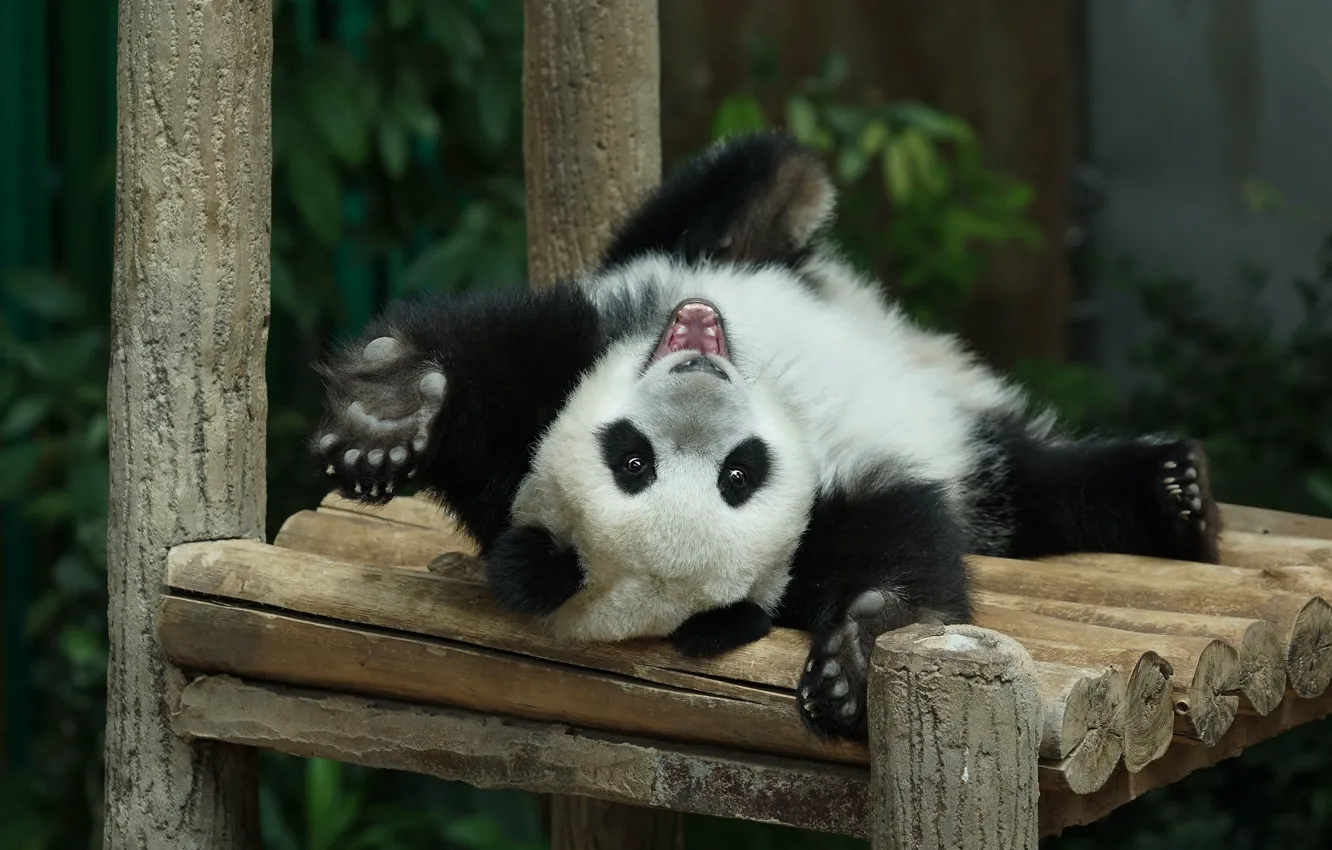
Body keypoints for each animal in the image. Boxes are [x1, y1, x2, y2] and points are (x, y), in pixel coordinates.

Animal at [311, 131, 1221, 742]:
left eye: (736, 472)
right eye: (636, 462)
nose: (703, 378)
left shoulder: (591, 353)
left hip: (719, 250)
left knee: (764, 175)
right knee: (1040, 488)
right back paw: (1173, 495)